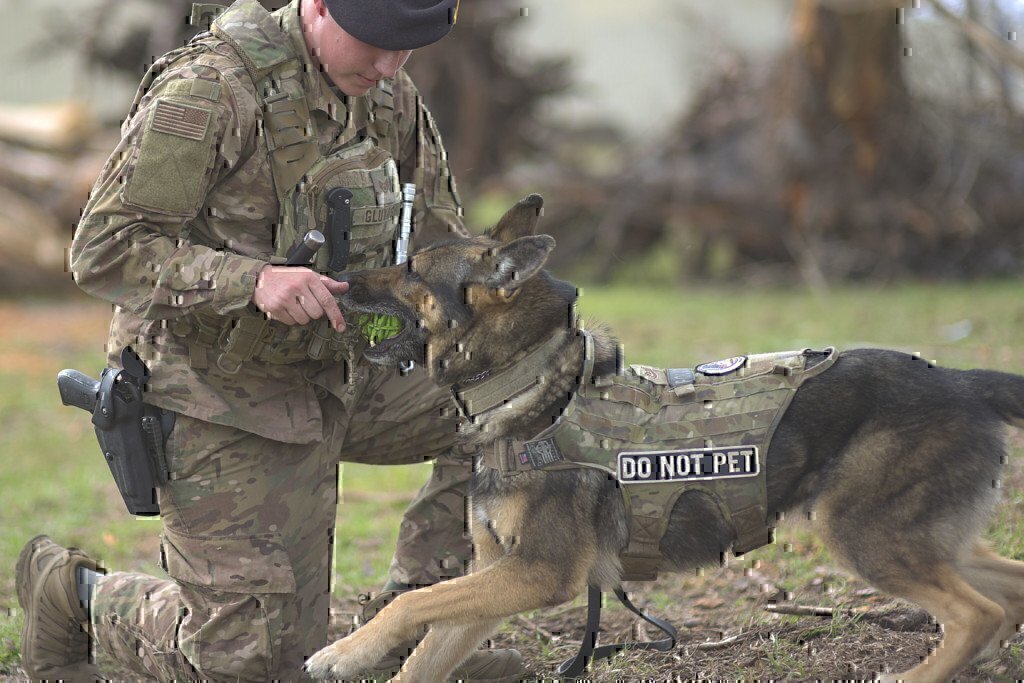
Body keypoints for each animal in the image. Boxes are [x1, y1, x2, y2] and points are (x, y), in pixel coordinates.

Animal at [307, 194, 1024, 679]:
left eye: (411, 272)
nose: (338, 280)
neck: (529, 384)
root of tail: (960, 379)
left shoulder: (535, 575)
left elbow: (413, 602)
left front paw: (342, 651)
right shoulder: (493, 584)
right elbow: (424, 644)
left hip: (861, 533)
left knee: (977, 614)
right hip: (918, 538)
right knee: (1004, 593)